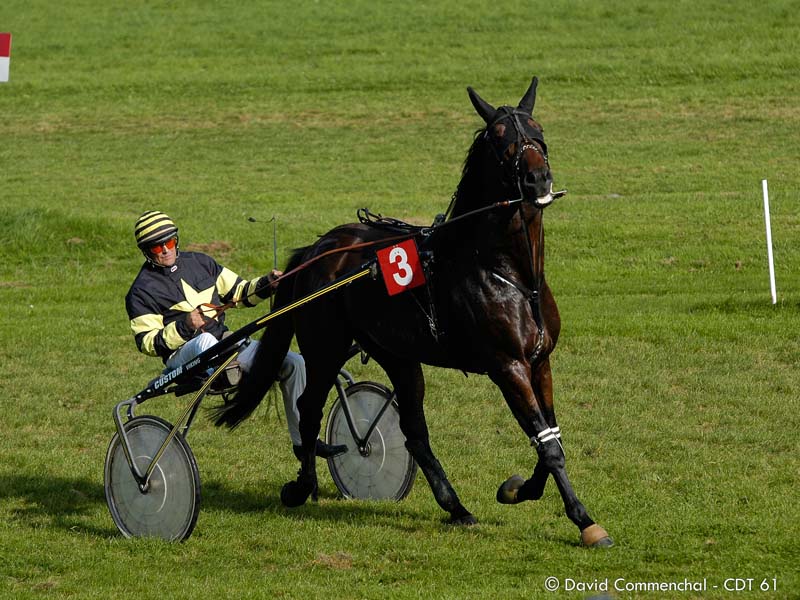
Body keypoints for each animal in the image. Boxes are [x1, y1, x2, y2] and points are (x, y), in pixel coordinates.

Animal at [212, 78, 612, 548]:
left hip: (399, 357)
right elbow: (547, 444)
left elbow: (551, 437)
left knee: (414, 433)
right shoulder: (507, 366)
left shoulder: (539, 361)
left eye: (538, 128)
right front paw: (584, 520)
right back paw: (301, 486)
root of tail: (318, 250)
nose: (537, 178)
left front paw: (518, 489)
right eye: (499, 138)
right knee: (310, 408)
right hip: (326, 347)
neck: (511, 273)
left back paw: (455, 507)